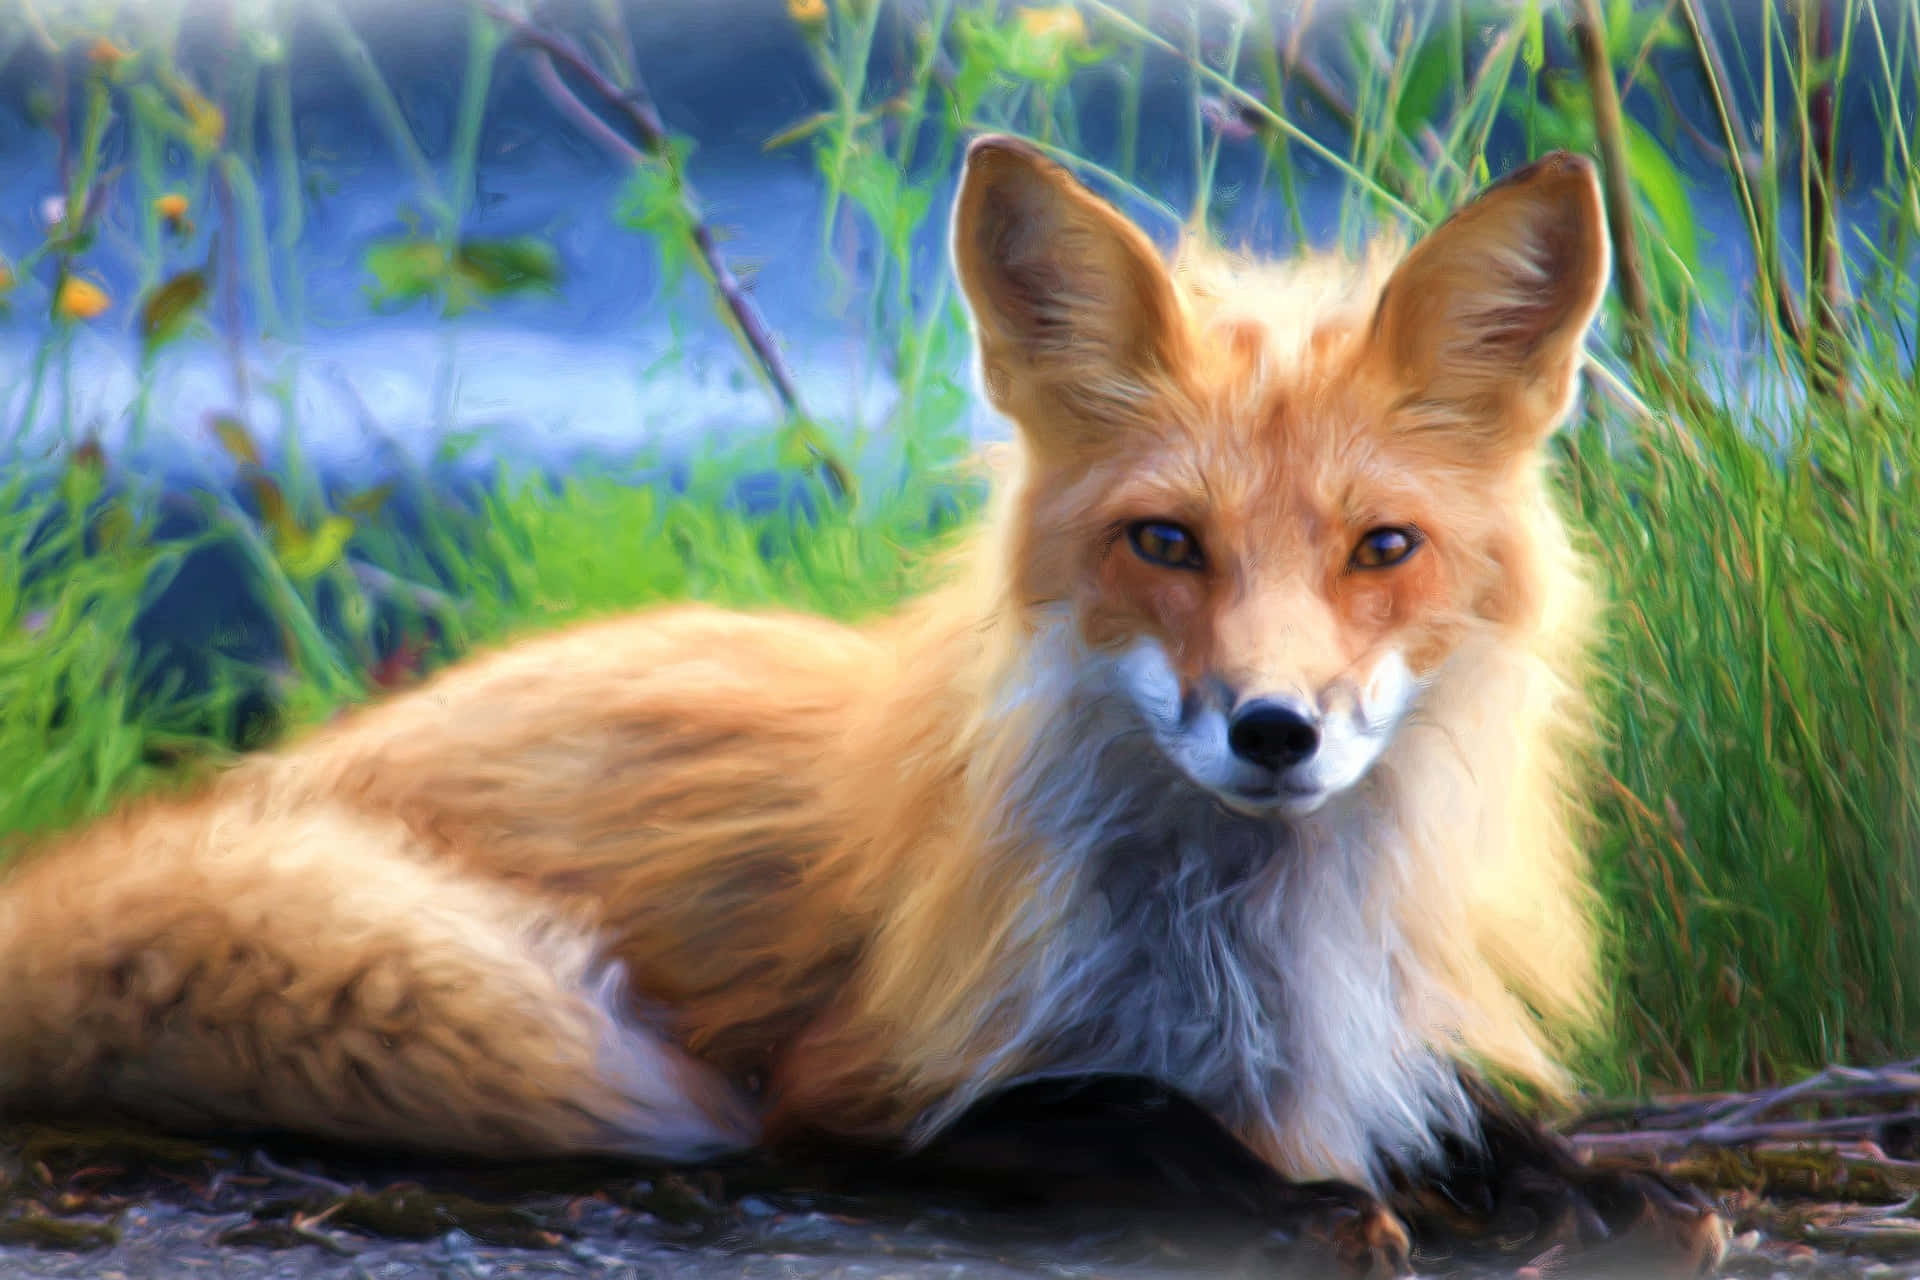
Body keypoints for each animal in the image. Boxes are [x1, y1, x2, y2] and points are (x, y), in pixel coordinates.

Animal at [0, 136, 1726, 1277]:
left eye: (1384, 549)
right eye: (1166, 542)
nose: (1275, 731)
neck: (1253, 950)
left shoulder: (1385, 1027)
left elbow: (1467, 1113)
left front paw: (1581, 1185)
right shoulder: (856, 1090)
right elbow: (1121, 1113)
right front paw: (1295, 1199)